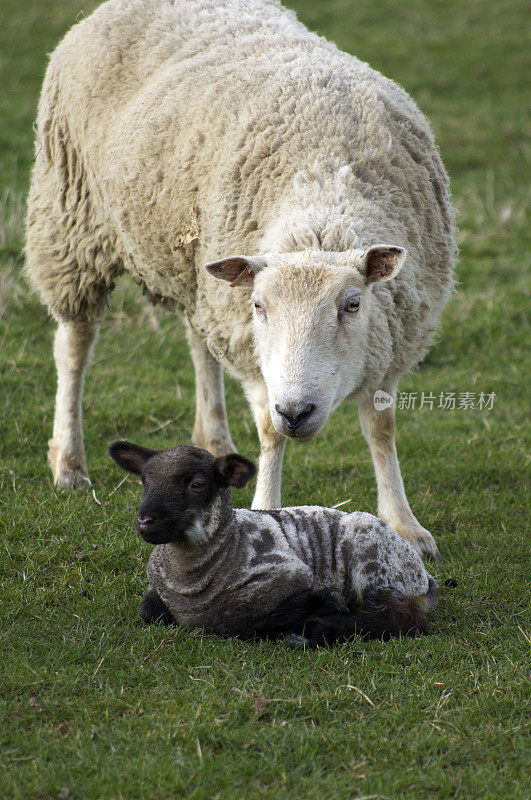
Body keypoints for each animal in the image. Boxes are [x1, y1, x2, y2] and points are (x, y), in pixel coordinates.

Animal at [26, 0, 458, 560]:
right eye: (259, 306)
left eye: (352, 305)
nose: (297, 409)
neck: (322, 189)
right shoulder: (252, 347)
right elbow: (270, 433)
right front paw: (267, 508)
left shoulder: (390, 342)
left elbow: (381, 429)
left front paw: (404, 525)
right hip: (71, 218)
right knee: (74, 347)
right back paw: (69, 463)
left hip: (197, 271)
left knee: (198, 342)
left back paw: (213, 439)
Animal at [108, 440, 440, 648]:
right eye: (145, 482)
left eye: (197, 485)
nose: (146, 520)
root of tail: (424, 577)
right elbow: (149, 610)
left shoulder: (286, 571)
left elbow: (235, 616)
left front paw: (322, 604)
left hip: (374, 555)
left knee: (401, 617)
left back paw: (318, 630)